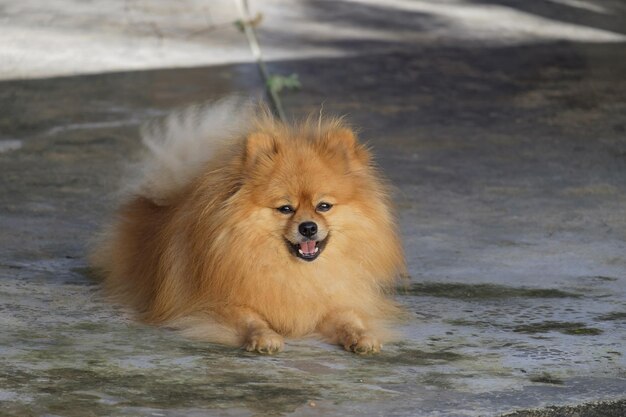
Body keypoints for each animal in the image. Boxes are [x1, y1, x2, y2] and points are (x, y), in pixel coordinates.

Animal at [92, 98, 404, 354]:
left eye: (323, 206)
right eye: (285, 208)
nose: (308, 227)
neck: (294, 272)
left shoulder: (332, 301)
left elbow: (348, 317)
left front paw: (361, 336)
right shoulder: (214, 304)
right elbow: (249, 318)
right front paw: (264, 337)